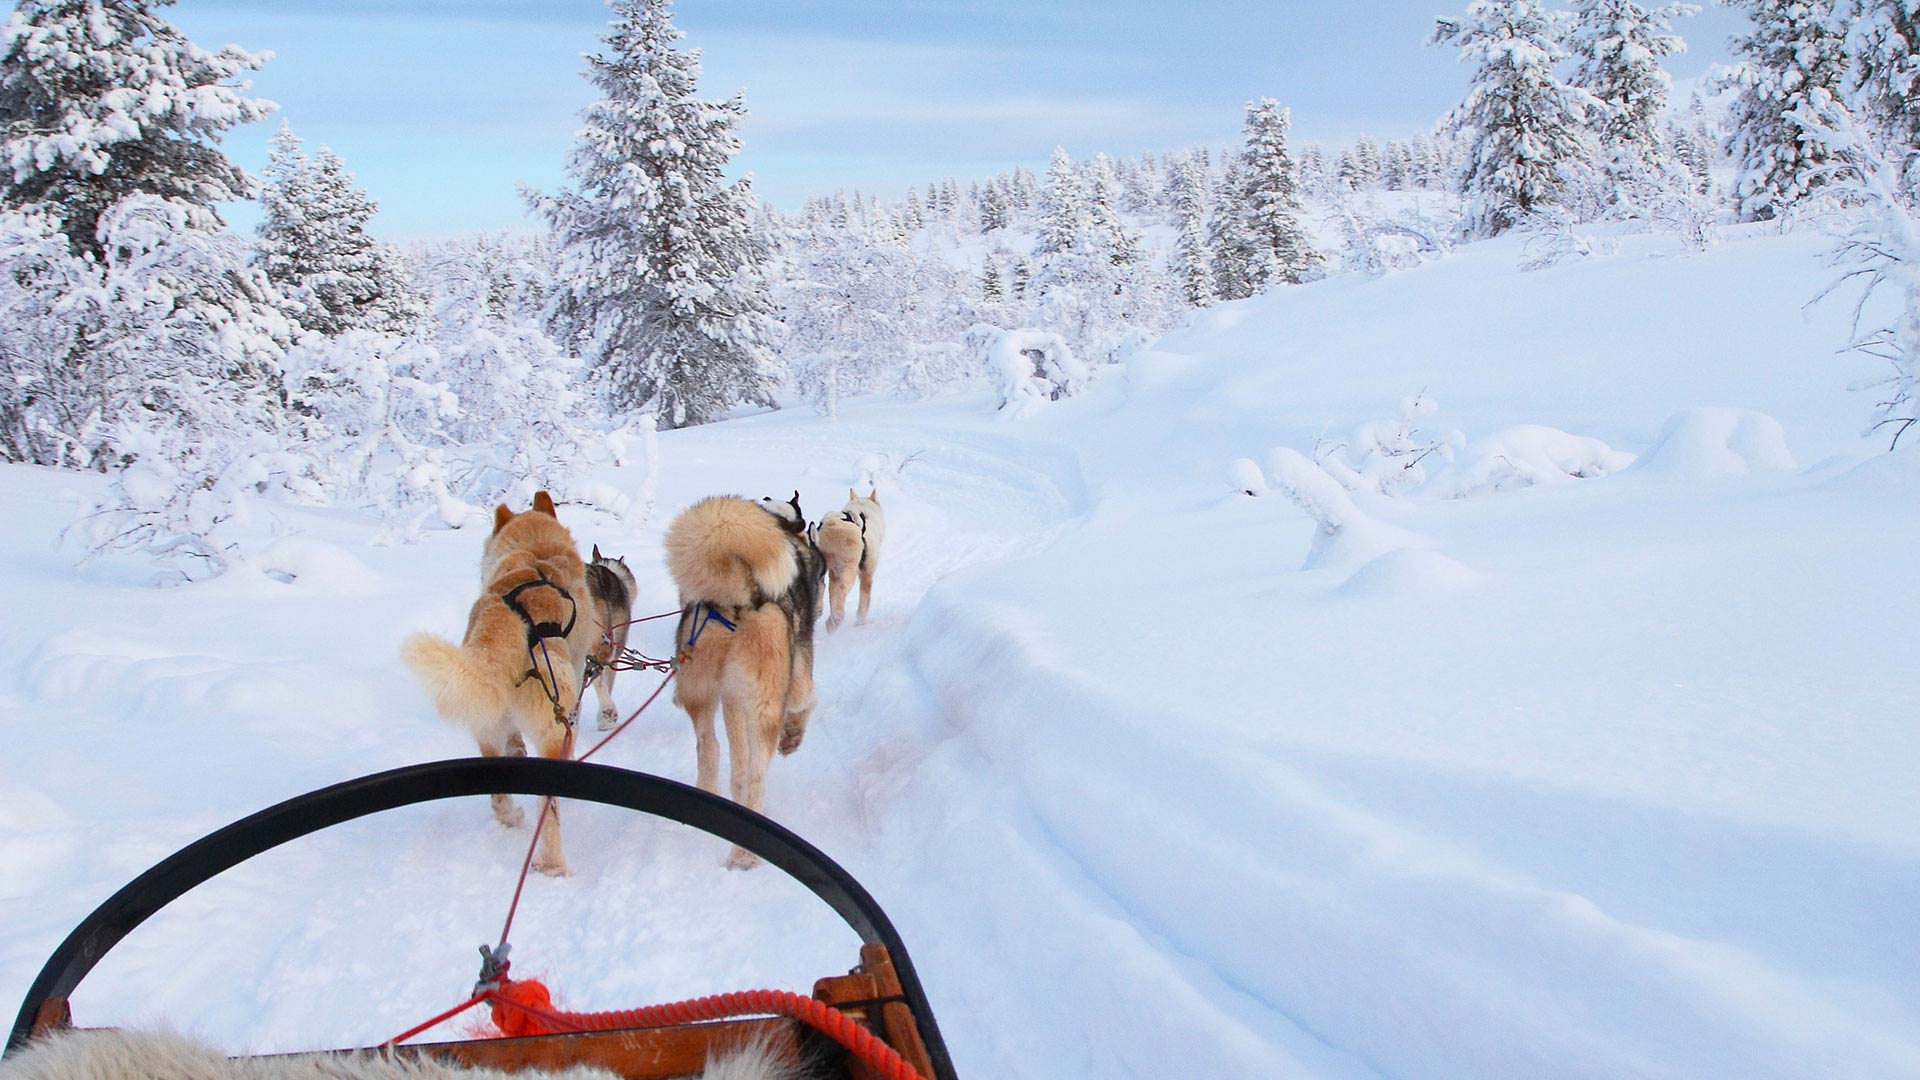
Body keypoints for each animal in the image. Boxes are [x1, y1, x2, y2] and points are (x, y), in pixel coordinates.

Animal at [401, 488, 587, 876]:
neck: (535, 552)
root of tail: (507, 623)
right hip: (553, 720)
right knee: (550, 807)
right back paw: (552, 864)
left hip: (486, 721)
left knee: (499, 786)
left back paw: (510, 815)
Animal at [664, 495, 821, 864]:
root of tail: (739, 597)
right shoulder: (799, 674)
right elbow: (806, 701)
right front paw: (793, 736)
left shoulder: (732, 700)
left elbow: (736, 759)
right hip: (766, 707)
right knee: (756, 775)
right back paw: (744, 857)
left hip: (701, 692)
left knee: (710, 746)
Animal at [821, 488, 887, 630]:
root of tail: (833, 525)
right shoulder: (866, 573)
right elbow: (864, 600)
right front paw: (861, 621)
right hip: (849, 571)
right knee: (841, 591)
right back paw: (836, 620)